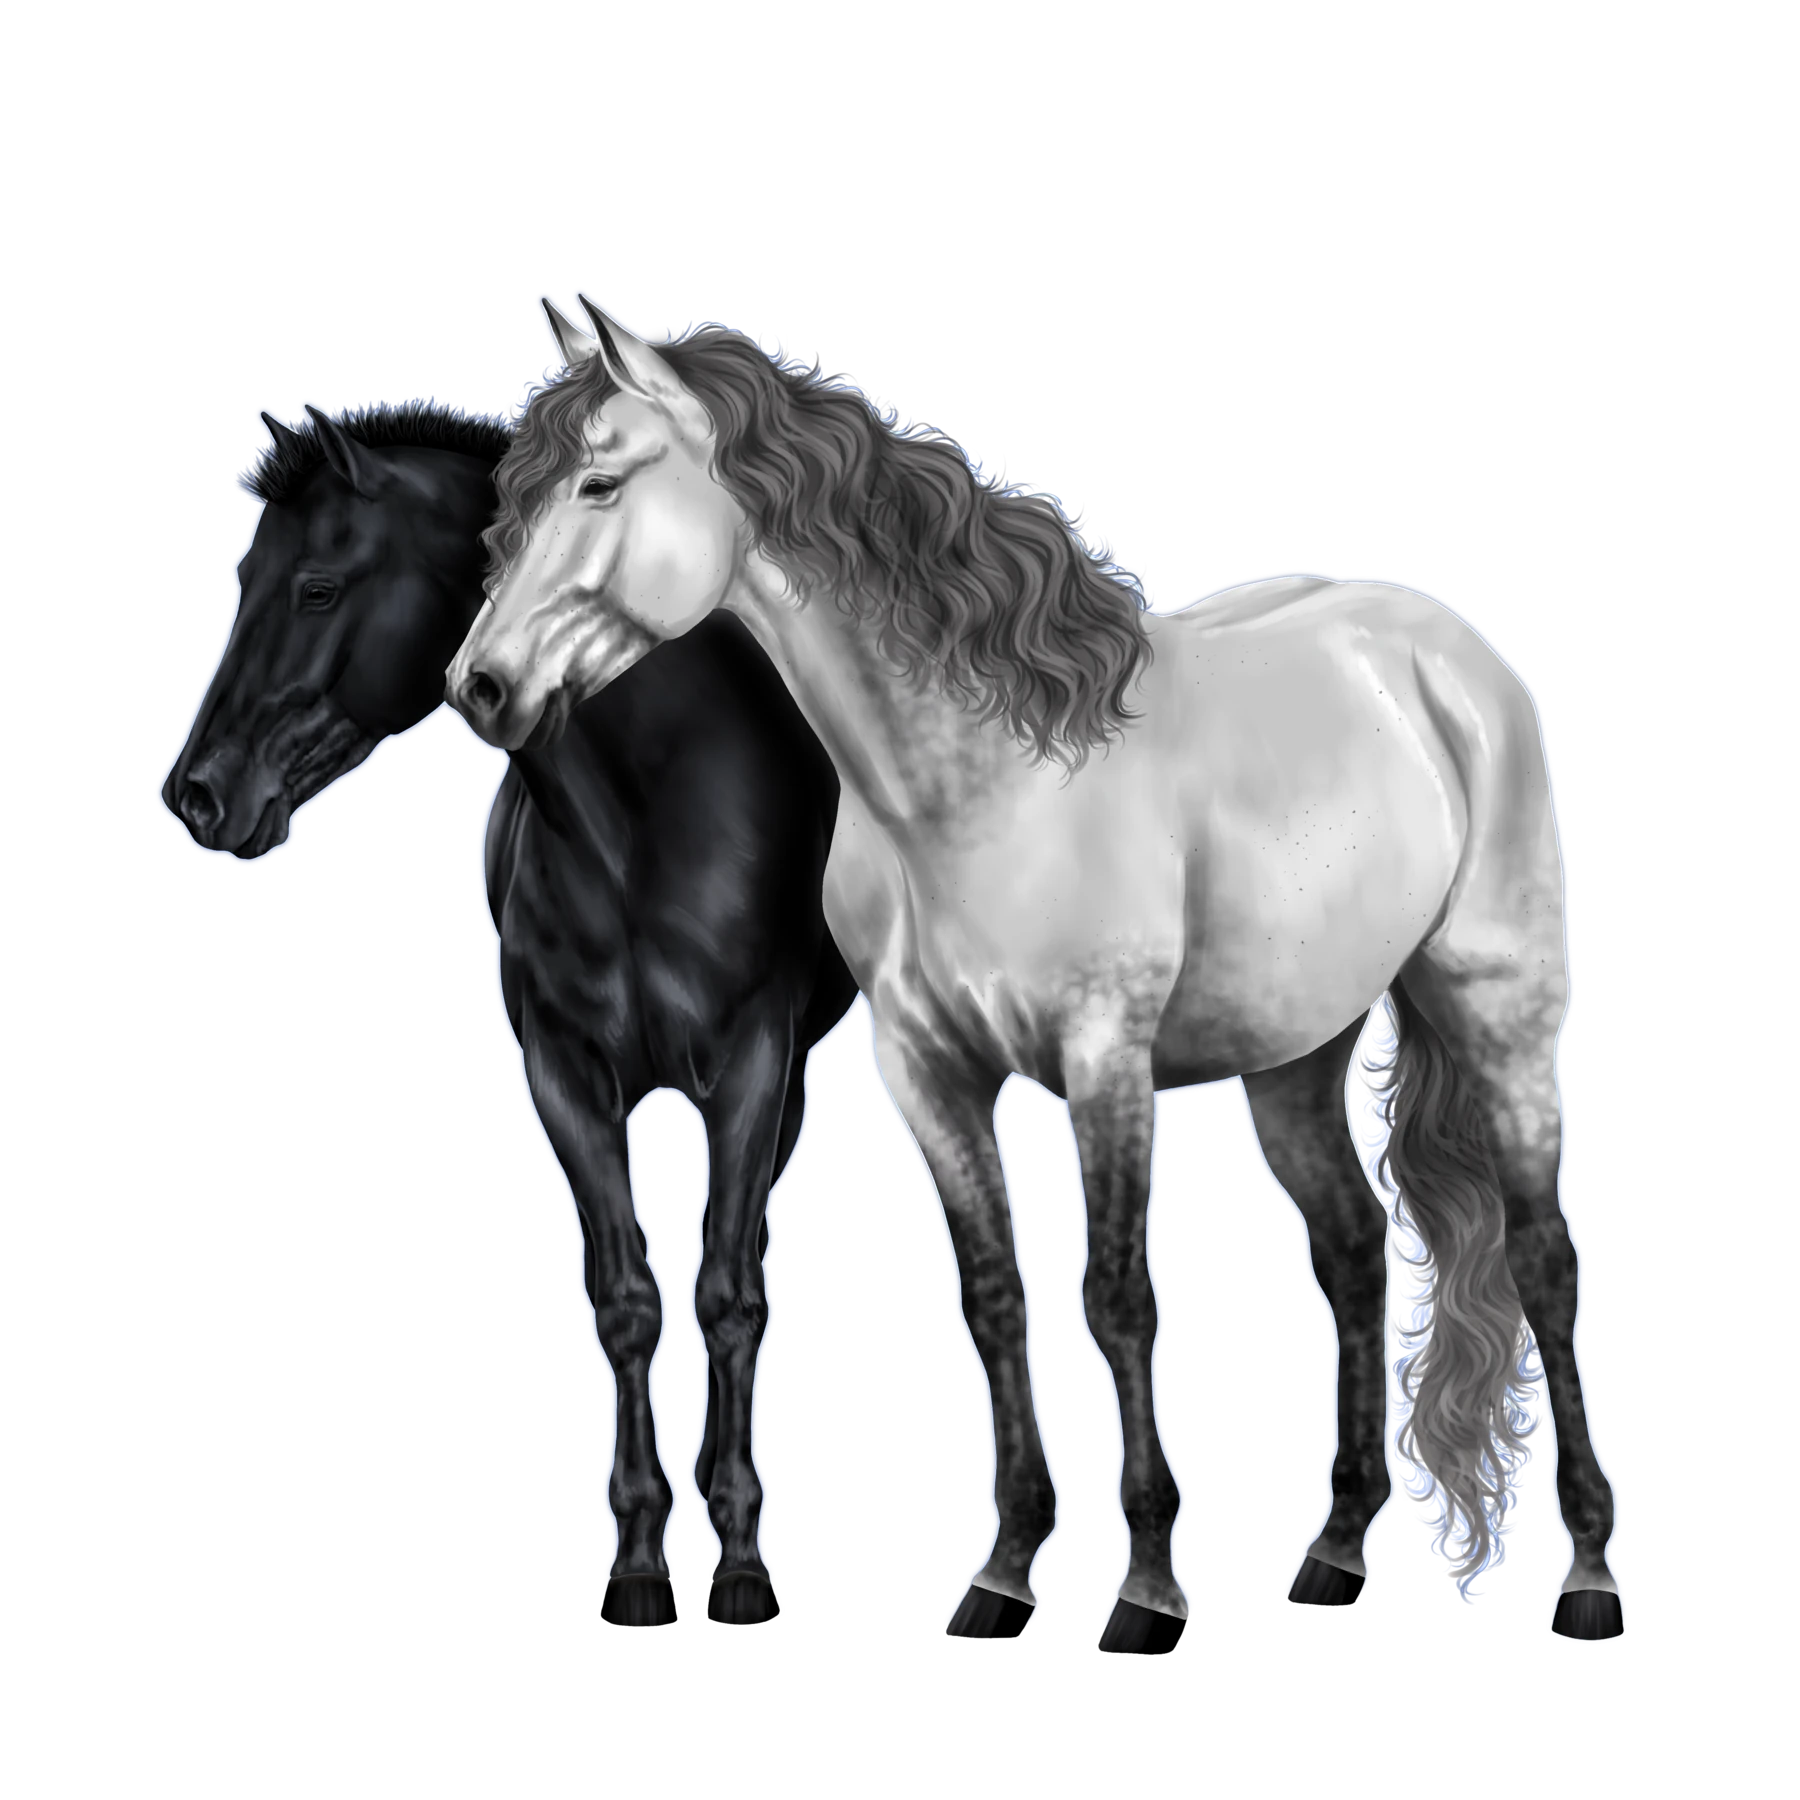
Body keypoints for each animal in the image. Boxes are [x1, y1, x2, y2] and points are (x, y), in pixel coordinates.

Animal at [160, 384, 855, 1634]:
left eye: (318, 586)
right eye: (248, 579)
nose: (199, 793)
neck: (646, 816)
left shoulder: (749, 1069)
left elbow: (727, 1296)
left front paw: (737, 1565)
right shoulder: (564, 1075)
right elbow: (626, 1300)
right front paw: (640, 1564)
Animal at [445, 293, 1630, 1651]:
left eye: (598, 482)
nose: (480, 687)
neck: (981, 785)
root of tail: (1440, 648)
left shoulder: (1102, 1060)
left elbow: (1116, 1299)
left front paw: (1146, 1587)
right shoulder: (928, 1073)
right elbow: (997, 1298)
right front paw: (1005, 1572)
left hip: (1501, 1014)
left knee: (1543, 1259)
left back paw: (1589, 1576)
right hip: (1293, 1058)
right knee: (1349, 1249)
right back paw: (1334, 1550)